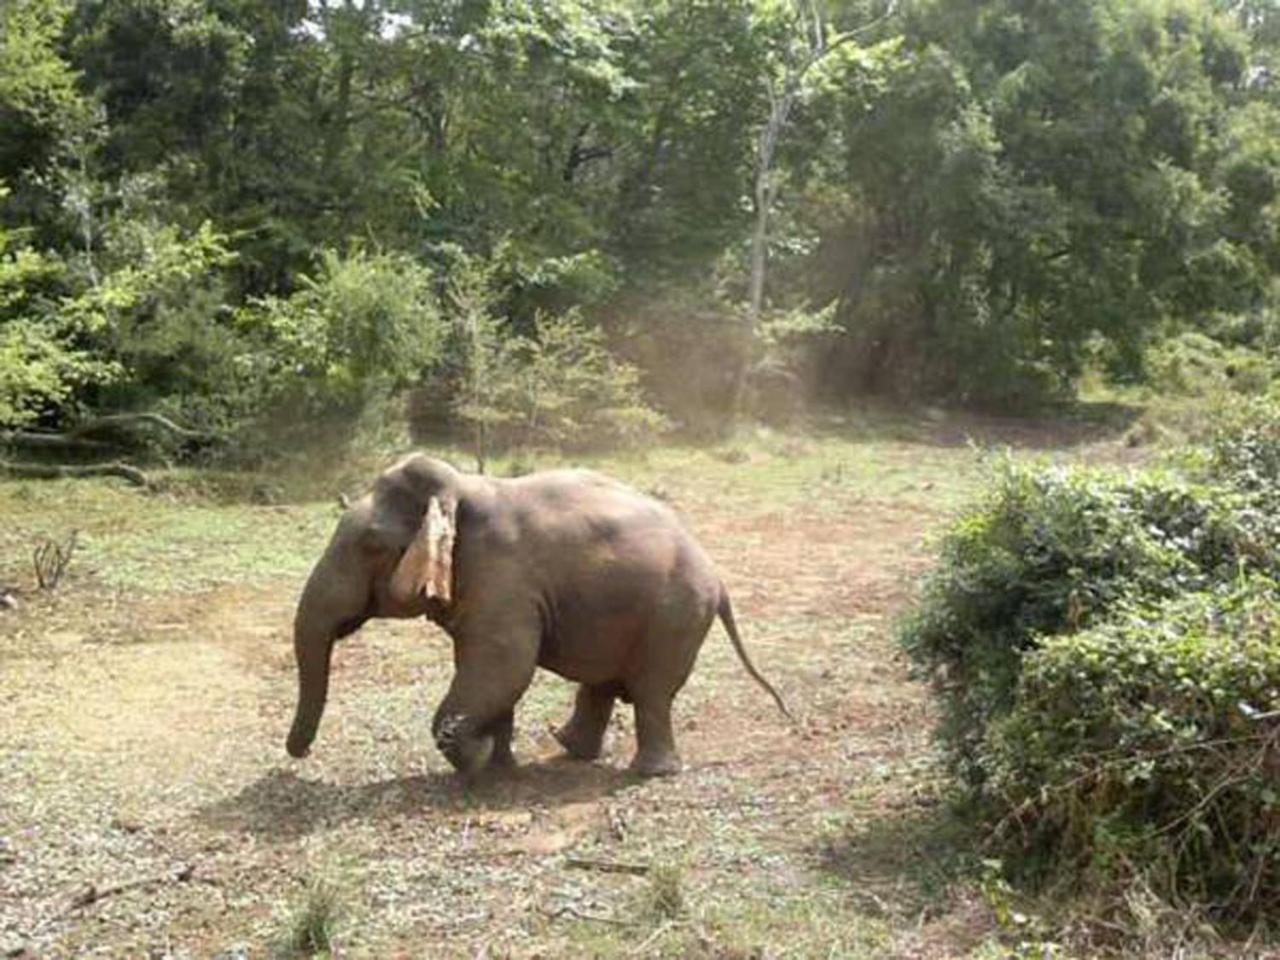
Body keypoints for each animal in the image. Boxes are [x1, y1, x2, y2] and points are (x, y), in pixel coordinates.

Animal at [285, 455, 788, 778]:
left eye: (370, 545)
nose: (299, 755)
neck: (462, 489)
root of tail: (718, 578)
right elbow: (490, 671)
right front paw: (497, 763)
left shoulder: (503, 580)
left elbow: (505, 666)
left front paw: (476, 759)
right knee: (606, 684)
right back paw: (569, 748)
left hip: (674, 616)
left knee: (651, 692)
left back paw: (651, 773)